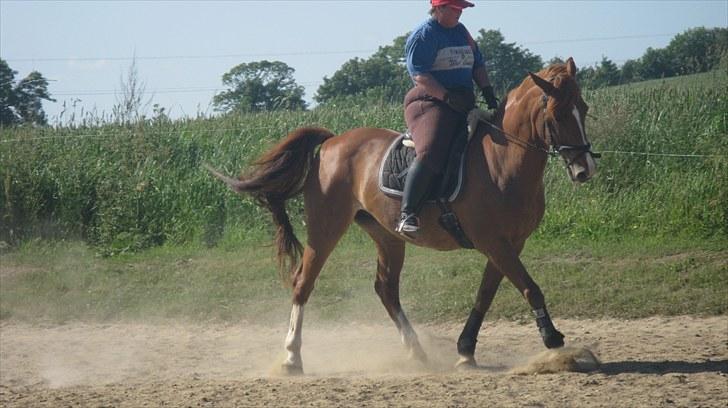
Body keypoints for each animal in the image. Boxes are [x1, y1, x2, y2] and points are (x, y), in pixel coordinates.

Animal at [206, 58, 596, 376]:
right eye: (557, 115)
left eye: (584, 108)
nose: (584, 170)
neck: (503, 161)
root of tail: (331, 142)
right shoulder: (494, 242)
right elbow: (530, 287)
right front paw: (555, 342)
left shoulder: (509, 243)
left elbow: (485, 294)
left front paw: (465, 351)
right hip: (325, 228)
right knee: (303, 283)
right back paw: (291, 358)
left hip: (387, 235)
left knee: (385, 288)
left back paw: (416, 352)